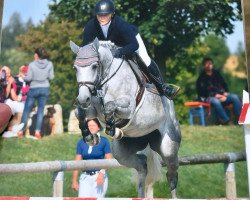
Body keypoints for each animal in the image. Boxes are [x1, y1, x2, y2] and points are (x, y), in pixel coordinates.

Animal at [69, 38, 181, 198]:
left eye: (94, 66)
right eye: (75, 68)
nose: (83, 98)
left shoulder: (129, 109)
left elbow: (110, 106)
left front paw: (111, 126)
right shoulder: (92, 108)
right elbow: (80, 112)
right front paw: (90, 136)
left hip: (168, 146)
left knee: (172, 174)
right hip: (121, 153)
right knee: (142, 165)